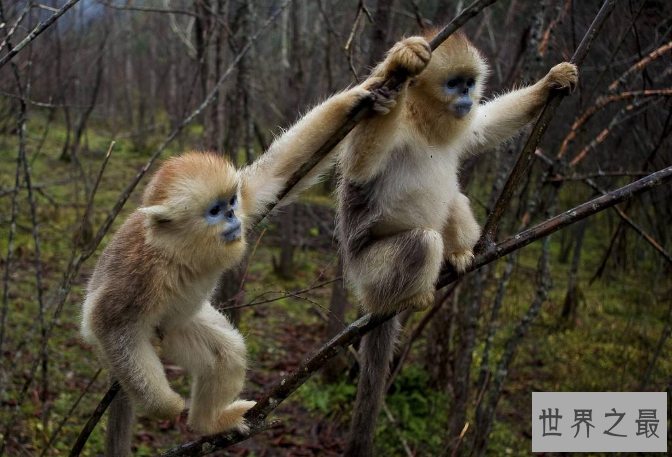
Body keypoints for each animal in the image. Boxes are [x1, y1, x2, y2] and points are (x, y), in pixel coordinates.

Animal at [81, 69, 402, 454]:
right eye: (214, 211)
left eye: (231, 202)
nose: (234, 218)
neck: (179, 249)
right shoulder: (141, 272)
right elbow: (110, 324)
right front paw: (166, 407)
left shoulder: (249, 198)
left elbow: (275, 173)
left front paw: (362, 96)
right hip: (128, 350)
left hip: (178, 326)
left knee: (226, 353)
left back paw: (209, 423)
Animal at [338, 33, 580, 456]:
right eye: (454, 84)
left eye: (469, 83)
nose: (465, 96)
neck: (424, 123)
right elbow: (360, 166)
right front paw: (397, 68)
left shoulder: (462, 126)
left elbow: (481, 128)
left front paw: (553, 80)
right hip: (368, 272)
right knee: (422, 241)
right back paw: (413, 296)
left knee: (454, 200)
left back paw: (461, 255)